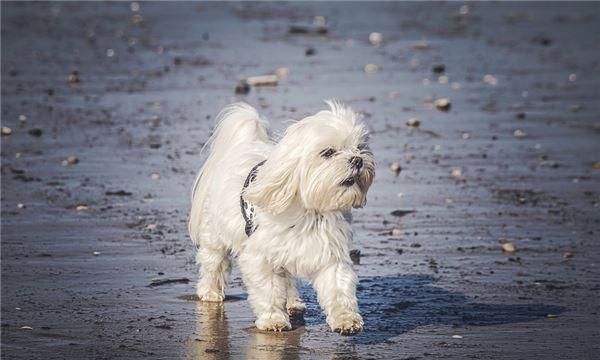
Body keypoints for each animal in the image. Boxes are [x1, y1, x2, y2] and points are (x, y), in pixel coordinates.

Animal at [189, 100, 376, 334]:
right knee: (214, 262)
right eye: (328, 152)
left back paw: (293, 302)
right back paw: (210, 292)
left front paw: (346, 319)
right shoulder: (260, 258)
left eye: (361, 148)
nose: (358, 160)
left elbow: (338, 288)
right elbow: (268, 290)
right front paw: (273, 319)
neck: (309, 211)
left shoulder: (331, 253)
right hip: (215, 235)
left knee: (288, 278)